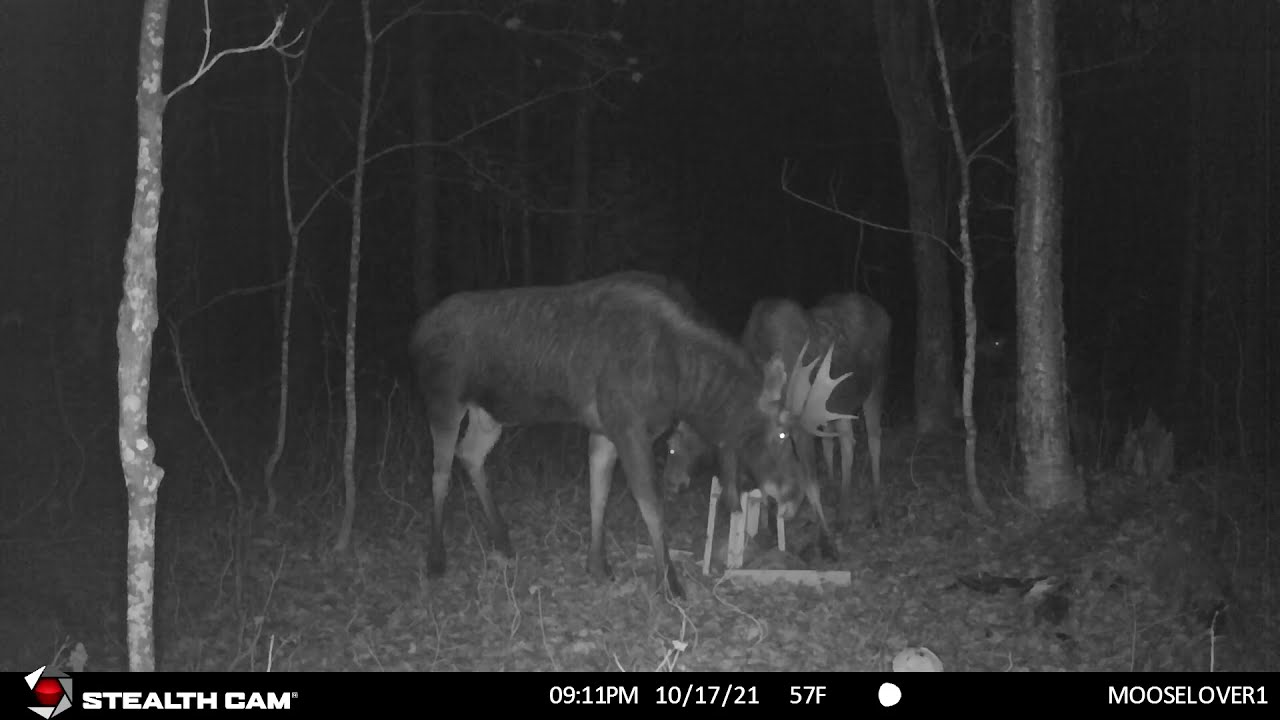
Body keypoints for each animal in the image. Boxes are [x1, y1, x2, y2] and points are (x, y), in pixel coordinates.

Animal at [409, 271, 852, 599]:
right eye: (781, 435)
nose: (793, 496)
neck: (679, 384)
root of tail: (417, 331)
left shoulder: (607, 429)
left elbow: (599, 493)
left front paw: (598, 566)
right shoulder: (628, 428)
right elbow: (651, 504)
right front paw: (670, 583)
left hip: (490, 413)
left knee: (470, 454)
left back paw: (503, 541)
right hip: (443, 398)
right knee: (439, 471)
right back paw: (435, 560)